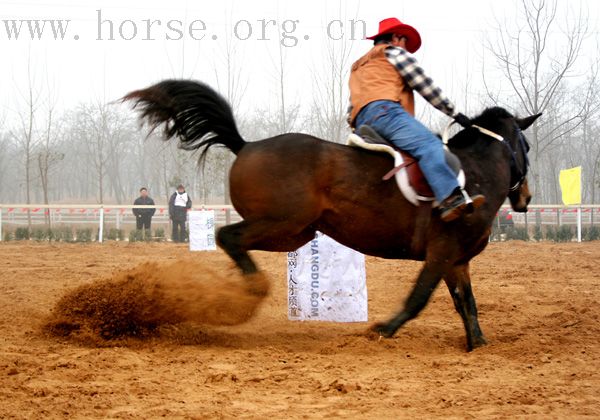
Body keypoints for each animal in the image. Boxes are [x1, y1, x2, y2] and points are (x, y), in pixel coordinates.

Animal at [124, 79, 540, 352]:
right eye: (527, 145)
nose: (526, 198)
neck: (474, 174)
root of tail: (246, 145)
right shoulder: (440, 254)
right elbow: (419, 299)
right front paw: (382, 330)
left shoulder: (456, 261)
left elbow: (466, 303)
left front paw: (478, 344)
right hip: (282, 225)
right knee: (228, 237)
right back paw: (251, 290)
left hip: (294, 234)